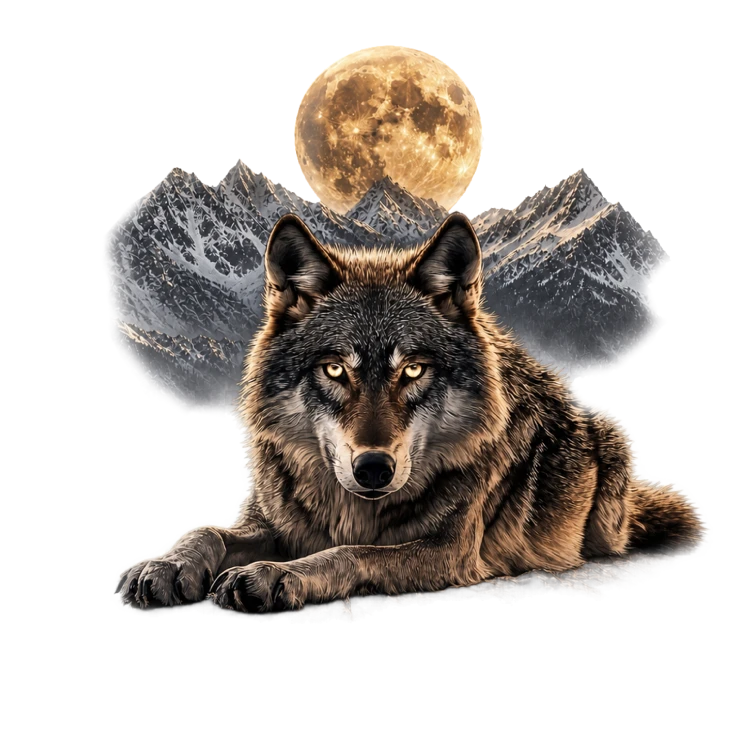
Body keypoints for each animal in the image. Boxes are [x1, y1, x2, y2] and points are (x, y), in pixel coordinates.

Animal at [118, 212, 701, 612]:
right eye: (336, 370)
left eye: (414, 370)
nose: (374, 468)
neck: (351, 508)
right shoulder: (274, 520)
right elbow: (210, 532)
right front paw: (166, 564)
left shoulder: (449, 552)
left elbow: (353, 553)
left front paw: (274, 575)